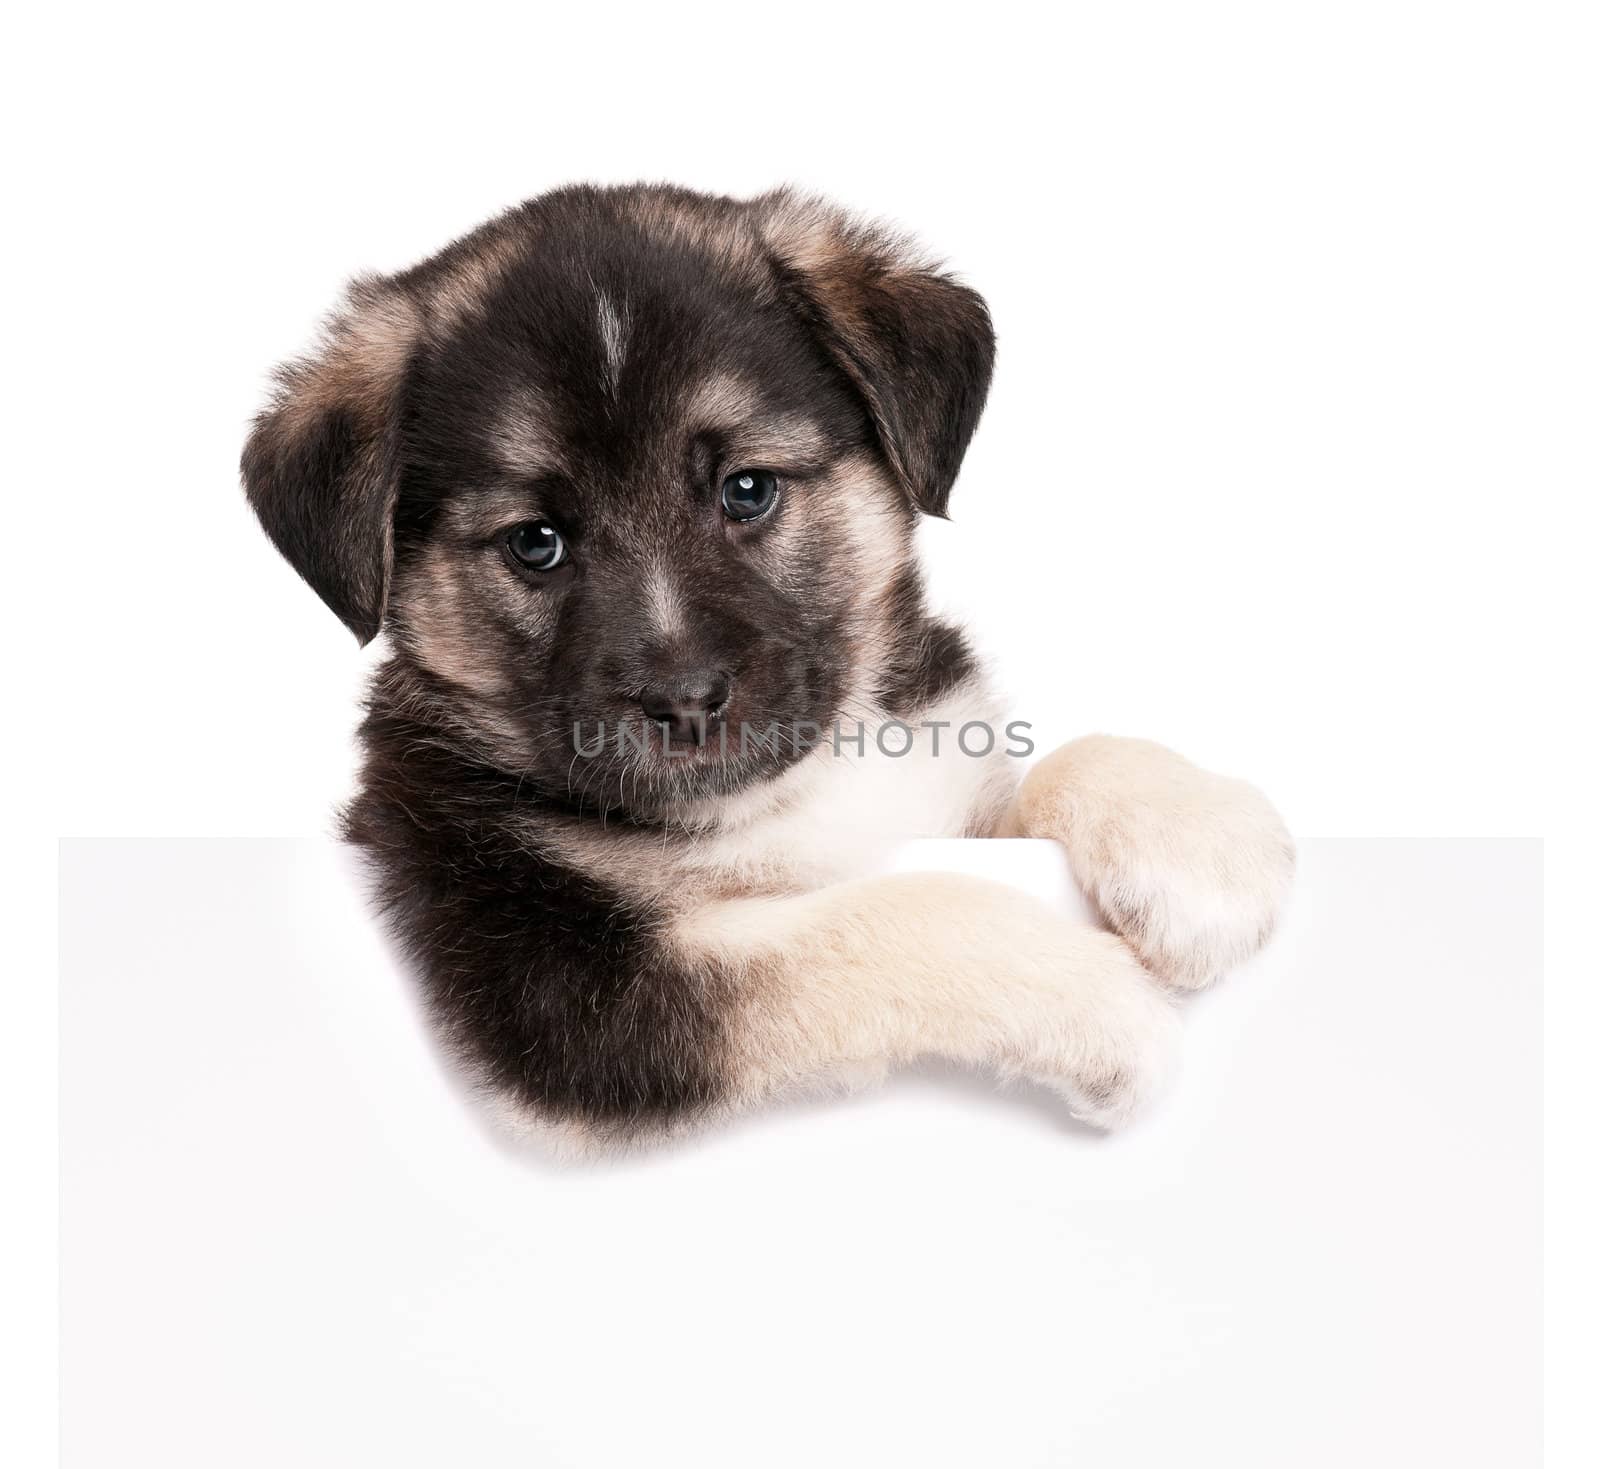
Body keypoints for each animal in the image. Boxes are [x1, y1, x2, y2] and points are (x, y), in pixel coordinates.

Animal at [243, 180, 1292, 1152]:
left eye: (746, 490)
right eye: (536, 543)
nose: (685, 701)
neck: (782, 797)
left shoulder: (950, 804)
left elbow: (1058, 767)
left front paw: (1197, 843)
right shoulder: (556, 980)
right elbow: (876, 918)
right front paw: (1094, 1003)